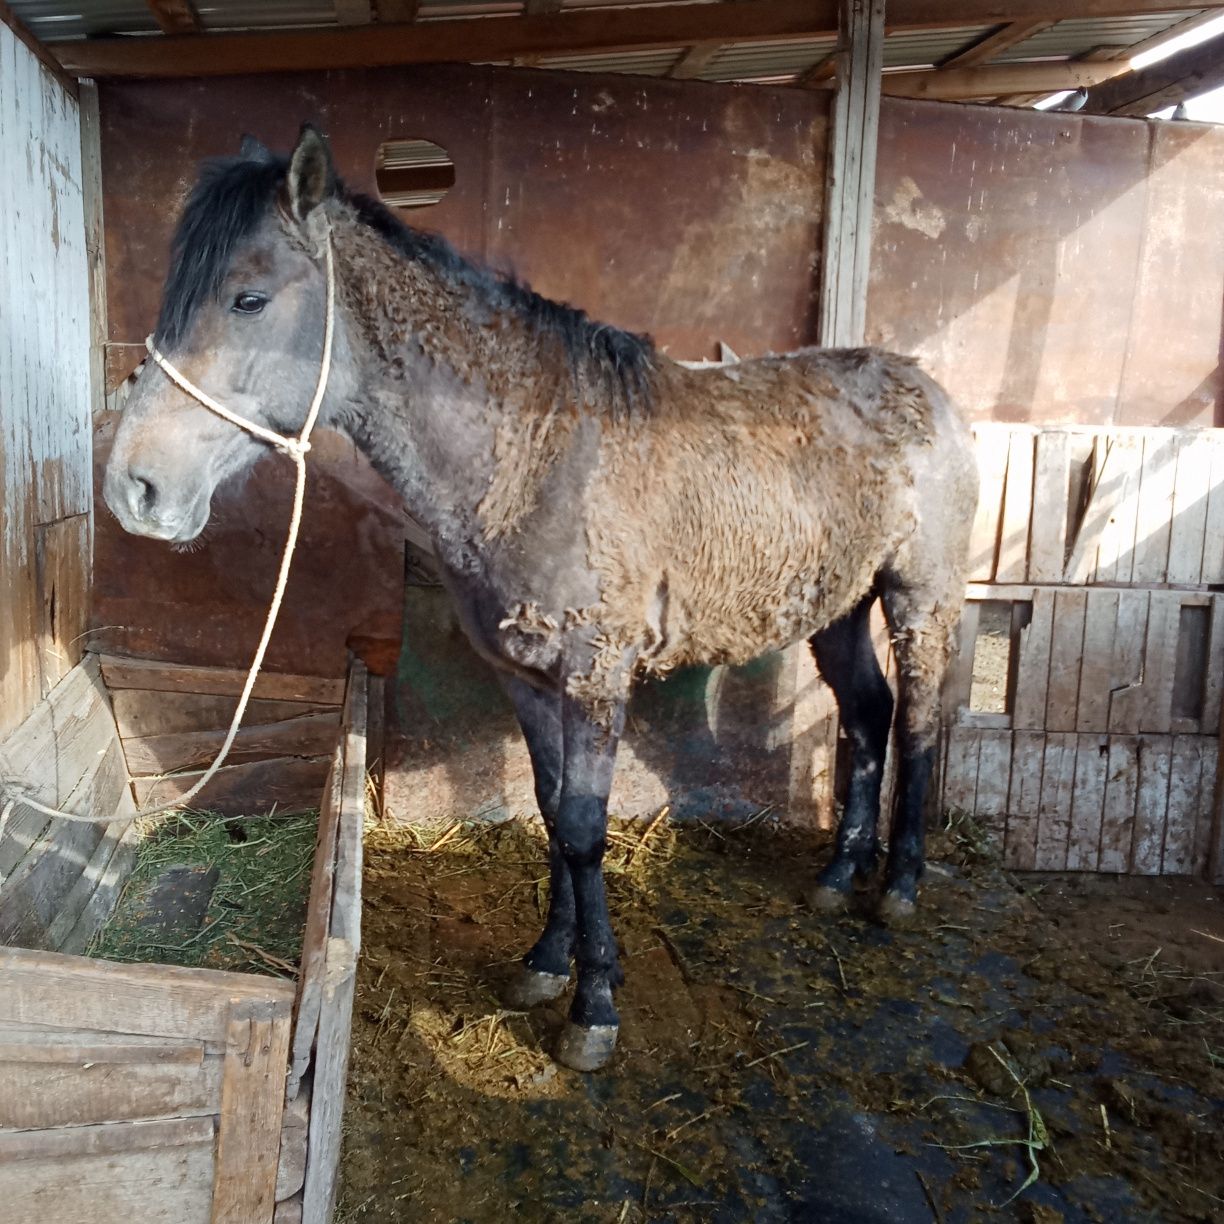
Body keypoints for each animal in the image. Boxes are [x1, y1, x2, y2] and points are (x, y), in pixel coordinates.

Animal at [107, 126, 984, 1072]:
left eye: (250, 298)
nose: (134, 487)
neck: (535, 456)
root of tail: (927, 389)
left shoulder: (596, 678)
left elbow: (586, 830)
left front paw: (593, 1008)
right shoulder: (524, 677)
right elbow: (551, 816)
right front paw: (545, 966)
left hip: (920, 597)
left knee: (919, 719)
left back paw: (898, 886)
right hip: (837, 608)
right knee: (866, 715)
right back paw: (837, 876)